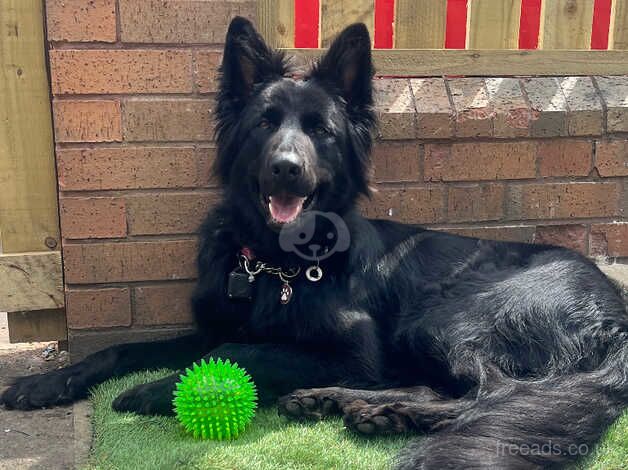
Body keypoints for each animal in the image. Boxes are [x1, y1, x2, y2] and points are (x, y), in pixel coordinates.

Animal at [2, 16, 624, 468]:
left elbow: (241, 352)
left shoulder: (355, 351)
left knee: (493, 395)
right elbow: (123, 348)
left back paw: (372, 408)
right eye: (264, 123)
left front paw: (157, 390)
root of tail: (615, 314)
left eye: (320, 130)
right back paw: (347, 404)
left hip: (448, 317)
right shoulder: (215, 325)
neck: (274, 264)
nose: (286, 168)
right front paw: (47, 381)